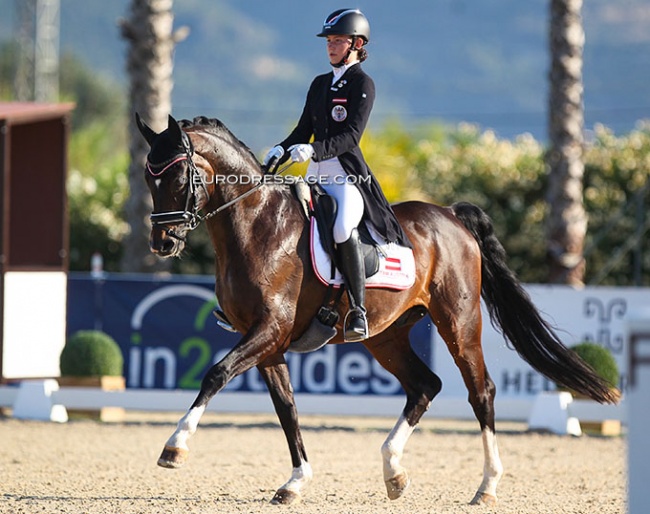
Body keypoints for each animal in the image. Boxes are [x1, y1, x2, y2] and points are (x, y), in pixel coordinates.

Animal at [135, 113, 612, 504]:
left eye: (179, 177)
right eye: (147, 177)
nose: (163, 243)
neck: (258, 228)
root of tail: (450, 215)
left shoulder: (269, 329)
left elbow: (215, 374)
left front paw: (174, 447)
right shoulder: (268, 342)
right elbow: (286, 408)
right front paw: (295, 482)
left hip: (459, 323)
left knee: (481, 392)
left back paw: (486, 487)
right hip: (387, 336)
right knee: (425, 386)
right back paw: (394, 473)